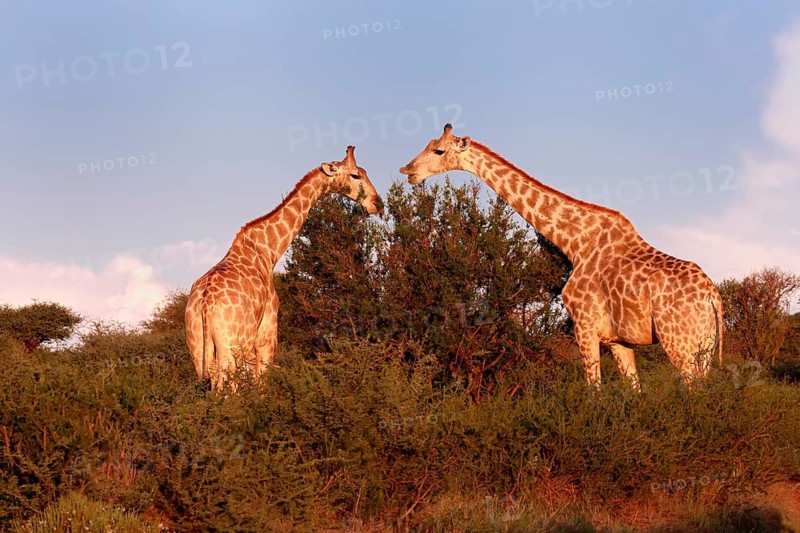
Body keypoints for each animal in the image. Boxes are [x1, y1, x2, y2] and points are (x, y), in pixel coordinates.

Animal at [185, 146, 383, 392]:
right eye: (356, 175)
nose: (378, 203)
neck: (268, 250)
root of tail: (205, 303)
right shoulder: (267, 333)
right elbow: (261, 385)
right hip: (233, 346)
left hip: (198, 351)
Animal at [399, 125, 723, 390]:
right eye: (429, 144)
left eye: (439, 150)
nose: (407, 169)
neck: (574, 243)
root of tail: (713, 297)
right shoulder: (618, 340)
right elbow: (635, 393)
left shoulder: (585, 325)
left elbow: (594, 392)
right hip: (703, 346)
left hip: (679, 343)